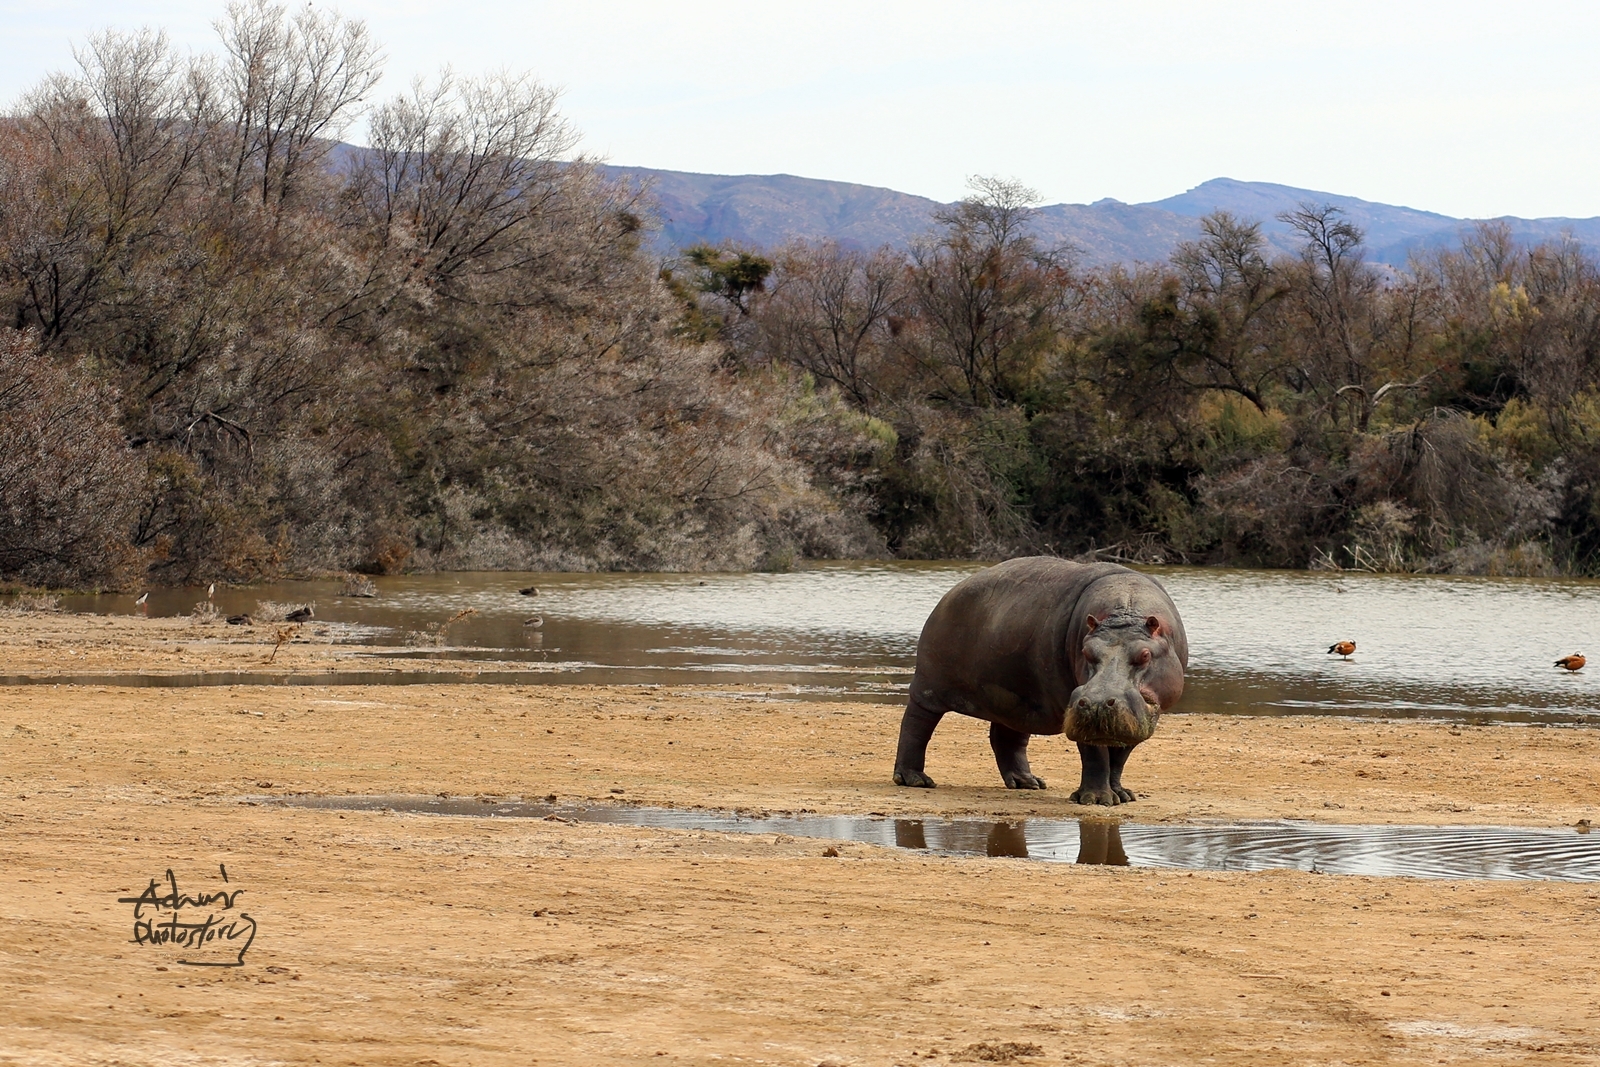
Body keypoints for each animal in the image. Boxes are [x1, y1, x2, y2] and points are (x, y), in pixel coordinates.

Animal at [892, 557, 1188, 805]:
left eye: (1145, 654)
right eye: (1086, 652)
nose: (1096, 703)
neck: (1125, 612)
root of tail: (951, 592)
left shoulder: (1142, 714)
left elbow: (1120, 756)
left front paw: (1122, 795)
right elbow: (1095, 753)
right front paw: (1096, 799)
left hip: (1017, 699)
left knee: (1007, 737)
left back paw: (1027, 783)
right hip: (929, 686)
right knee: (916, 724)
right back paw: (914, 780)